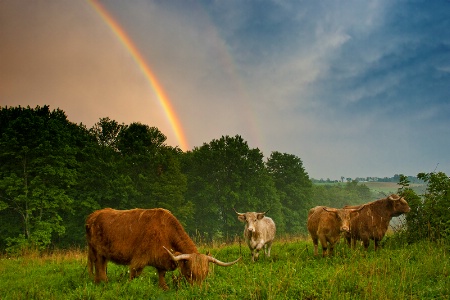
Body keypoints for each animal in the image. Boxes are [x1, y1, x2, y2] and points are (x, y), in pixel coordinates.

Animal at [84, 207, 239, 290]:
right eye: (190, 274)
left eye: (205, 274)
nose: (198, 290)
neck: (165, 231)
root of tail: (93, 215)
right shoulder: (139, 258)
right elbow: (133, 275)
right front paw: (129, 287)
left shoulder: (162, 258)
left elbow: (161, 274)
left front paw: (164, 287)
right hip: (96, 251)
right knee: (98, 266)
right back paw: (103, 283)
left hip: (103, 253)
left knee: (100, 265)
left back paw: (99, 282)